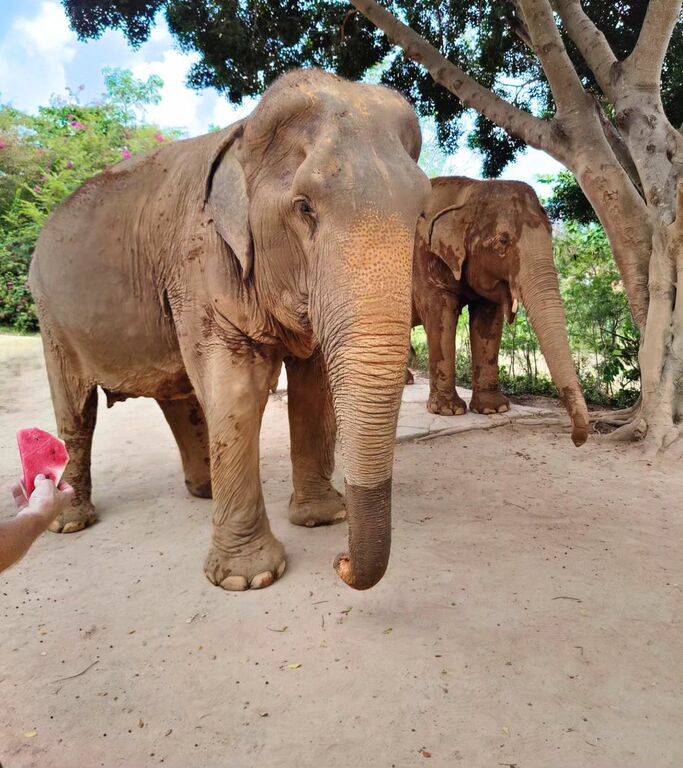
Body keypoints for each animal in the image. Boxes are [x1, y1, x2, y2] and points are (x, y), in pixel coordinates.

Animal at [29, 69, 431, 591]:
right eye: (304, 207)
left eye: (421, 213)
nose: (339, 563)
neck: (242, 132)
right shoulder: (198, 262)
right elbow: (237, 388)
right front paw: (249, 578)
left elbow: (315, 385)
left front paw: (323, 518)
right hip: (51, 316)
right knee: (76, 408)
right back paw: (71, 522)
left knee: (177, 396)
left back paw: (202, 491)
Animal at [411, 176, 589, 447]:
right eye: (502, 241)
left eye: (550, 234)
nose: (577, 440)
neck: (469, 190)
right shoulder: (424, 259)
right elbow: (441, 315)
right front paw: (448, 411)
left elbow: (488, 321)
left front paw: (494, 409)